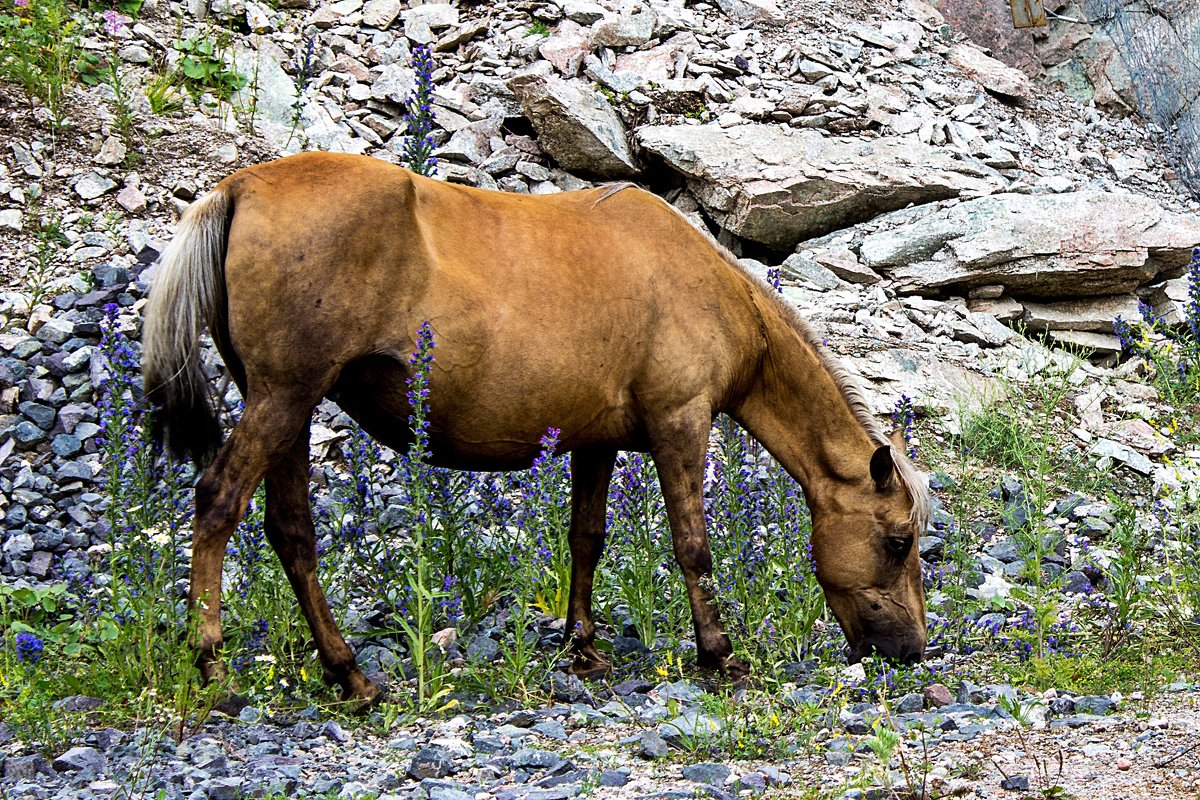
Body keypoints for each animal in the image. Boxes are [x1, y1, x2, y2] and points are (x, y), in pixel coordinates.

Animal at [140, 151, 926, 705]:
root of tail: (237, 190)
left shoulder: (597, 441)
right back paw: (212, 663)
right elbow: (693, 547)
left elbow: (587, 539)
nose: (914, 649)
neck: (708, 289)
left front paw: (582, 646)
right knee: (218, 502)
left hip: (288, 411)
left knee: (291, 532)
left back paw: (349, 674)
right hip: (282, 400)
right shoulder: (680, 422)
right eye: (897, 541)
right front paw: (718, 654)